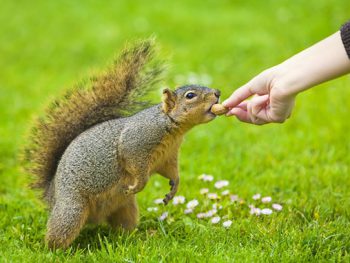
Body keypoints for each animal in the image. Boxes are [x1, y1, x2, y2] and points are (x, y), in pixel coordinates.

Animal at [23, 40, 221, 251]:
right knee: (59, 233)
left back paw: (136, 238)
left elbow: (171, 171)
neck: (171, 128)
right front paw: (138, 185)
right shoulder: (135, 144)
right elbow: (136, 166)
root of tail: (51, 195)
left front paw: (174, 188)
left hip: (126, 208)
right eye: (190, 96)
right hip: (71, 210)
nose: (217, 93)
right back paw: (55, 251)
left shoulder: (168, 156)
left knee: (124, 226)